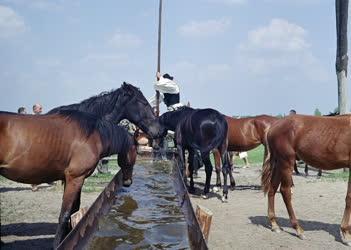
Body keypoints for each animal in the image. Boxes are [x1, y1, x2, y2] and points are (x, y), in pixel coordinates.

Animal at [0, 110, 138, 248]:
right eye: (135, 153)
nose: (128, 182)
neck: (94, 136)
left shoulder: (73, 180)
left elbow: (74, 209)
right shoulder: (75, 178)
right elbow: (65, 214)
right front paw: (58, 244)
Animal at [262, 114, 350, 245]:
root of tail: (273, 126)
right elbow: (349, 197)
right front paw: (346, 234)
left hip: (279, 163)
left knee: (272, 188)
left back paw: (274, 225)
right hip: (286, 162)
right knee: (285, 191)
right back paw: (298, 229)